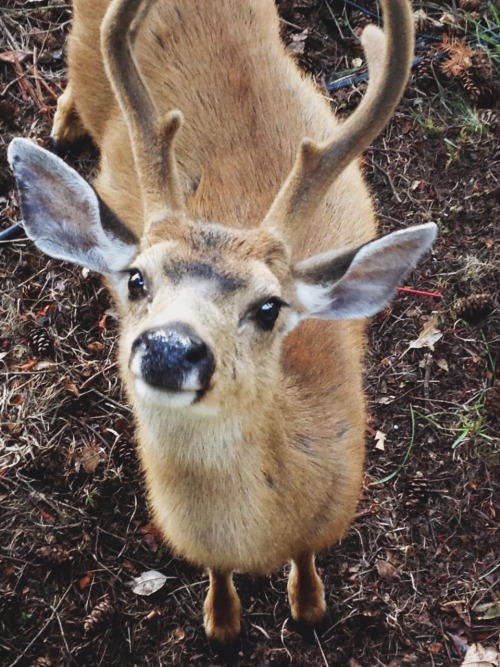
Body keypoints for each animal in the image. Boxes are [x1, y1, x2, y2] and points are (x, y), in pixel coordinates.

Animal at [9, 0, 436, 644]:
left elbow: (307, 571)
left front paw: (308, 605)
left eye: (269, 307)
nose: (169, 347)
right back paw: (63, 122)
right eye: (136, 279)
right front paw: (222, 619)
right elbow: (219, 583)